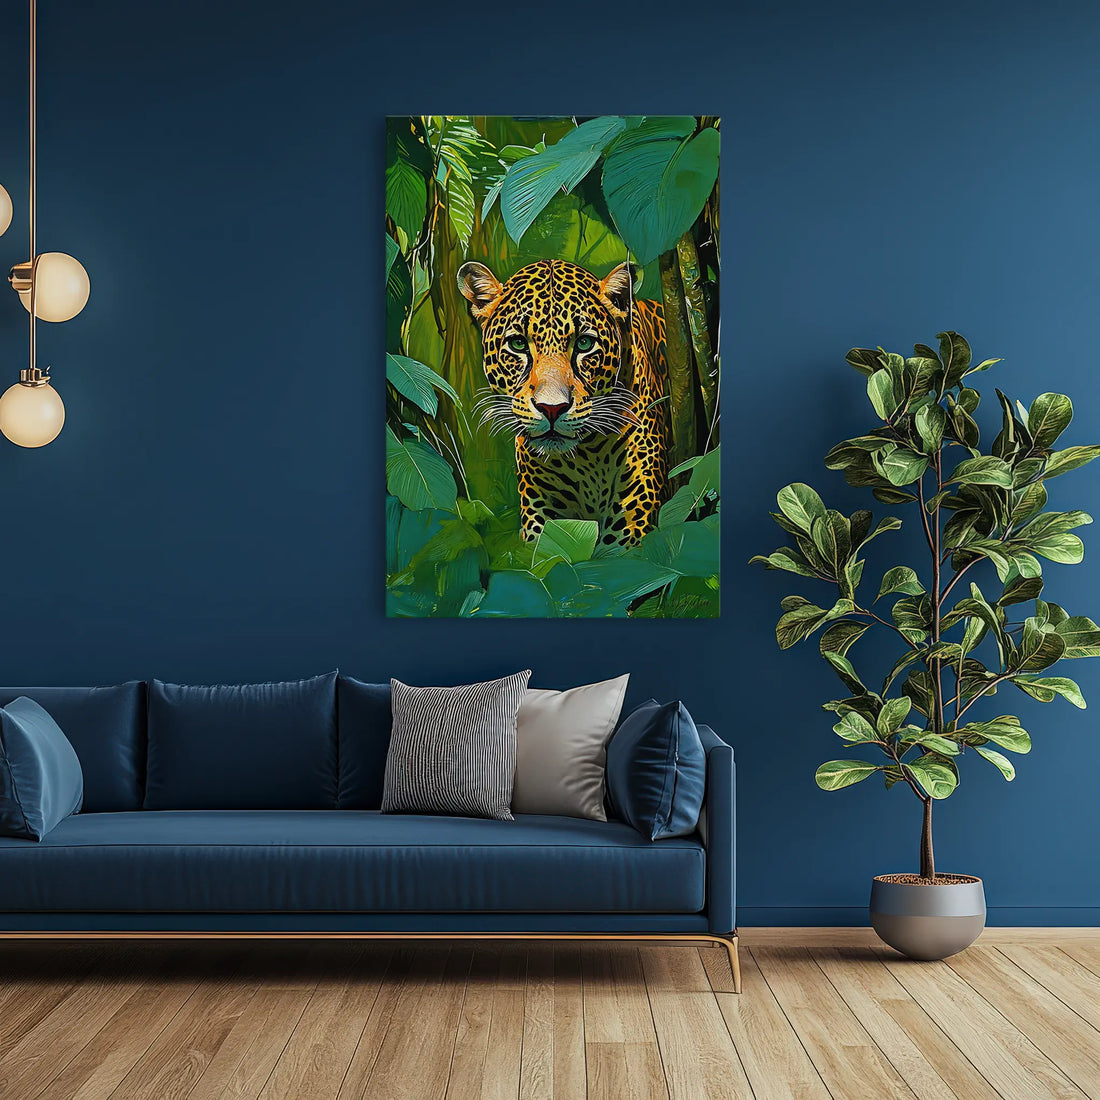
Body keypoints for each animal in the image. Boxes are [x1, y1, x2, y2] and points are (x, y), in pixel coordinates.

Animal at [457, 258, 668, 547]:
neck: (588, 456)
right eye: (518, 344)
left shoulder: (631, 525)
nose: (552, 408)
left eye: (585, 343)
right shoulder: (543, 519)